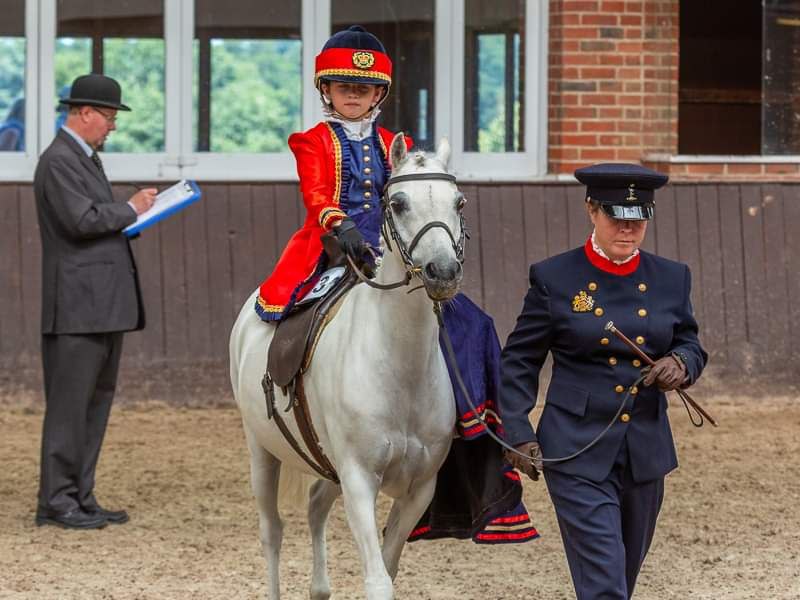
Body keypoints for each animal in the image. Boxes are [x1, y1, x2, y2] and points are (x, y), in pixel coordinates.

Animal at [228, 136, 466, 600]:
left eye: (459, 202)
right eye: (398, 203)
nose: (443, 272)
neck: (402, 367)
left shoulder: (419, 488)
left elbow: (388, 567)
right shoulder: (358, 479)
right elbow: (377, 580)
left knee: (316, 505)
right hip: (260, 449)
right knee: (272, 532)